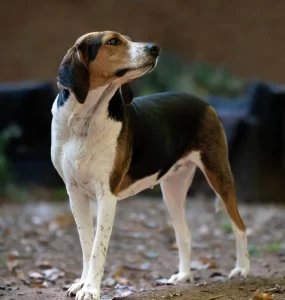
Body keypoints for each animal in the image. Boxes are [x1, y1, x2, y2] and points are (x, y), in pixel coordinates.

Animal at [51, 31, 248, 300]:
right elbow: (86, 245)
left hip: (219, 175)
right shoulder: (75, 193)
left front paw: (90, 289)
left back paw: (243, 269)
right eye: (113, 41)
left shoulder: (107, 196)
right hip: (173, 190)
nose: (155, 48)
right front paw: (82, 283)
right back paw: (184, 276)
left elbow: (98, 249)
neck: (86, 121)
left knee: (240, 226)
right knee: (185, 234)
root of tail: (203, 102)